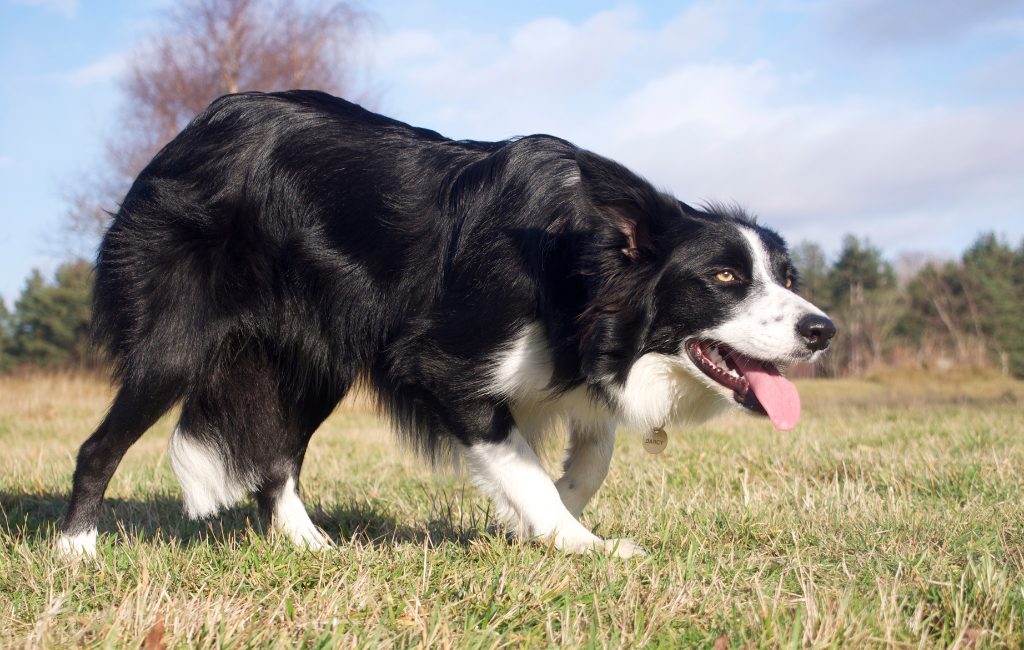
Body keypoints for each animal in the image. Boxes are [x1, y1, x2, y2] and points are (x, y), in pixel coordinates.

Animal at [56, 90, 835, 560]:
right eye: (725, 279)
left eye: (788, 279)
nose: (822, 330)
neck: (577, 265)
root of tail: (192, 131)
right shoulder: (441, 365)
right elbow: (522, 464)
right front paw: (580, 542)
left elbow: (593, 450)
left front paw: (539, 520)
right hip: (177, 345)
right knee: (100, 445)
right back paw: (76, 551)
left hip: (318, 357)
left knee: (276, 459)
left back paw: (310, 546)